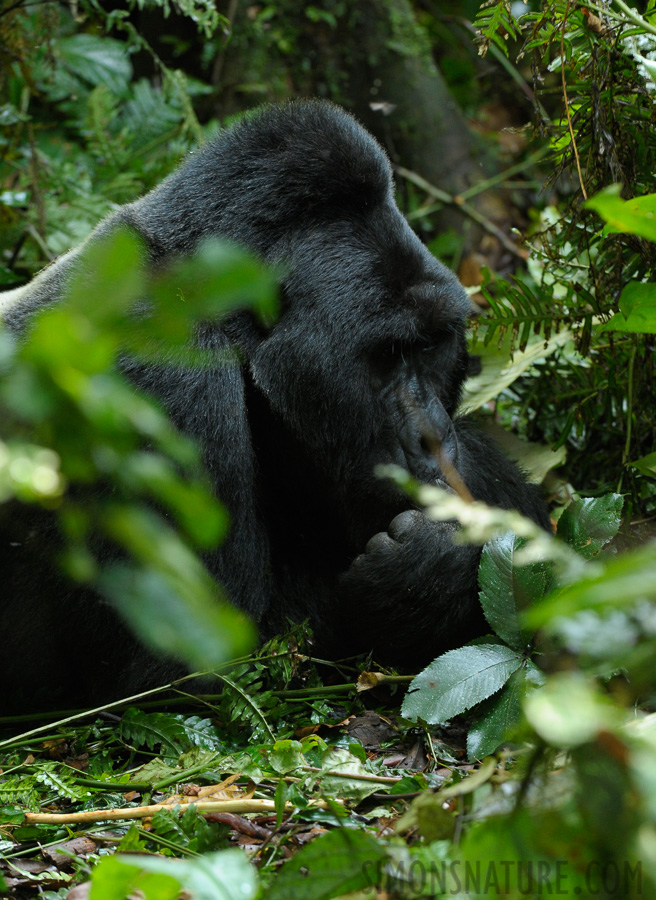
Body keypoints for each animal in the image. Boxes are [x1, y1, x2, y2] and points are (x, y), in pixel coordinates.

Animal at [0, 102, 548, 712]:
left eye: (431, 346)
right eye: (387, 355)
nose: (433, 437)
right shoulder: (162, 370)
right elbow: (192, 668)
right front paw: (432, 571)